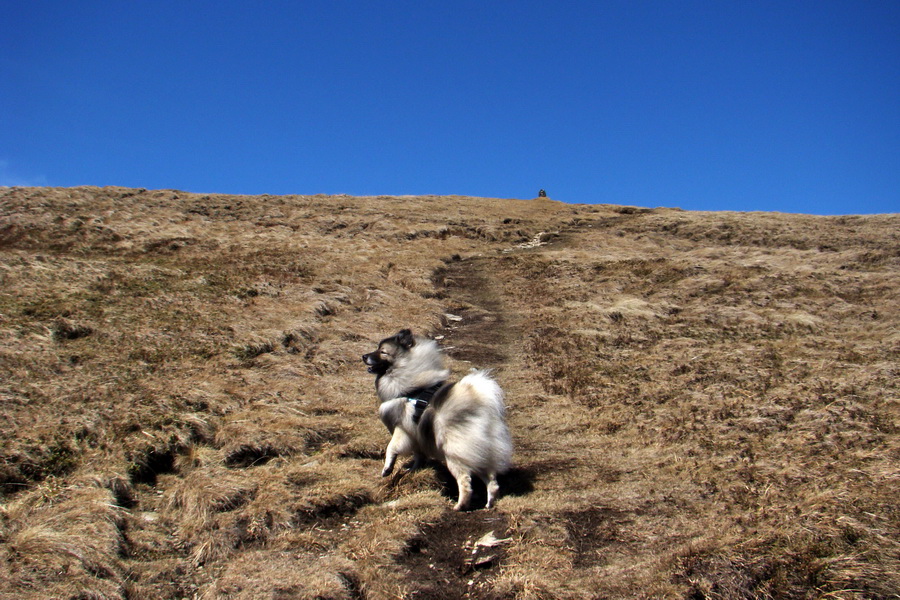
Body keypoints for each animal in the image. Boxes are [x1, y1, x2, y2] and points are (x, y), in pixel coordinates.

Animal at [360, 330, 512, 508]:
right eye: (377, 348)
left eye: (383, 352)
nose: (364, 356)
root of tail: (481, 405)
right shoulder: (416, 437)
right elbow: (418, 456)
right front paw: (413, 470)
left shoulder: (403, 429)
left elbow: (391, 447)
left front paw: (387, 468)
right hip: (478, 454)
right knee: (492, 481)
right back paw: (489, 503)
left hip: (454, 455)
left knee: (465, 481)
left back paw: (459, 506)